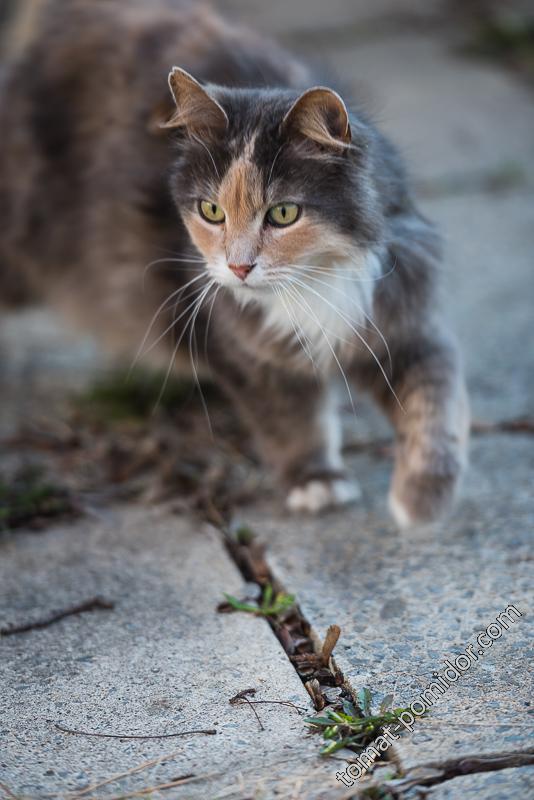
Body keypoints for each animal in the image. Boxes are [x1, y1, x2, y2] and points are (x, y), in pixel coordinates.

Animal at [0, 0, 468, 528]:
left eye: (283, 214)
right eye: (211, 211)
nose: (239, 268)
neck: (312, 286)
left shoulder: (403, 321)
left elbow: (436, 403)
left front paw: (422, 498)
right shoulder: (241, 351)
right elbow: (292, 421)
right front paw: (316, 481)